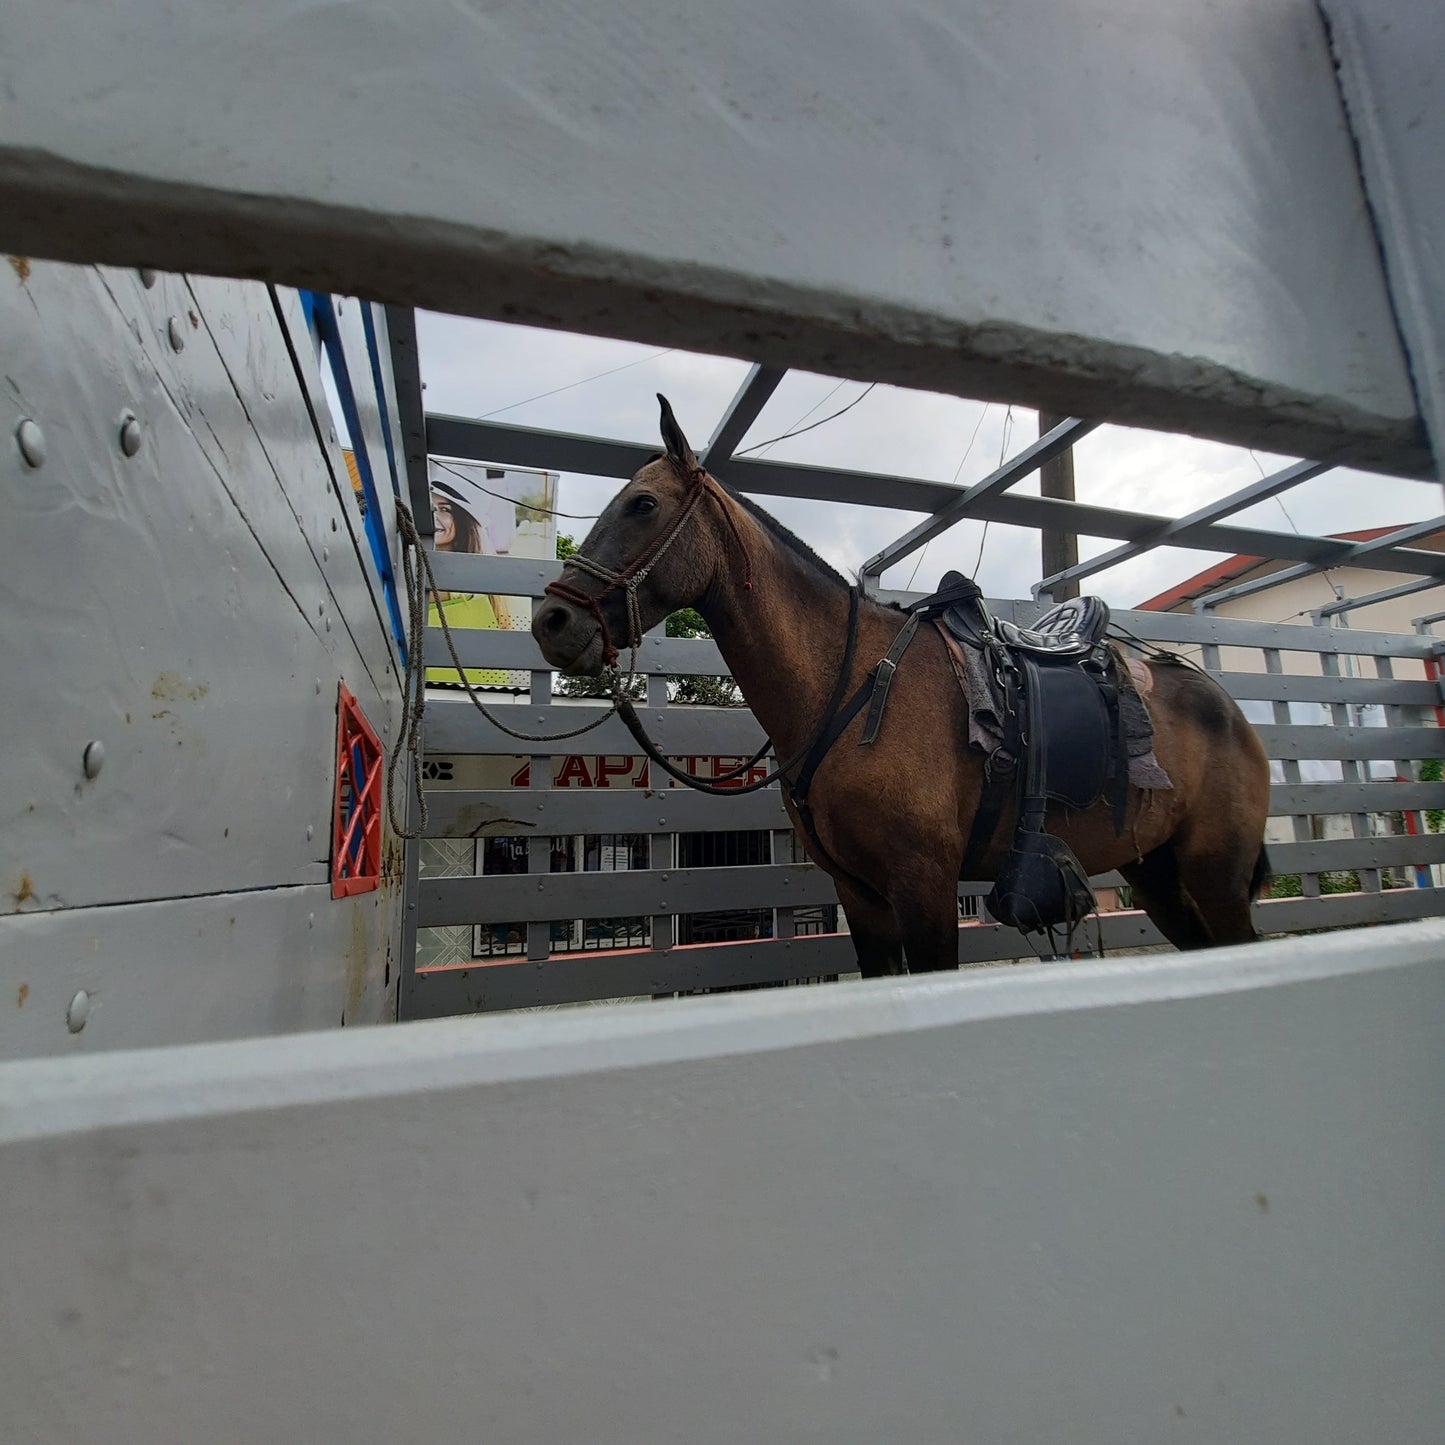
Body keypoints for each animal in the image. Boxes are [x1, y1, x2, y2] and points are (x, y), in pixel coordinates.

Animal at [533, 398, 1272, 974]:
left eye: (643, 503)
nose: (552, 621)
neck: (848, 688)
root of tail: (1227, 706)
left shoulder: (925, 888)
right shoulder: (863, 898)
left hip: (1215, 877)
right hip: (1157, 873)